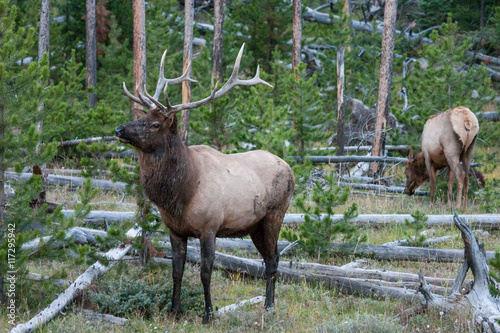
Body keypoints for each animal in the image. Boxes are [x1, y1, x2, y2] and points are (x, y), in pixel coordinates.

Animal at [115, 44, 294, 322]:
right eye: (141, 115)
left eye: (155, 124)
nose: (120, 129)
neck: (181, 193)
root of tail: (290, 168)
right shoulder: (175, 230)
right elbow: (176, 270)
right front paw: (174, 310)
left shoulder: (209, 227)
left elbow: (205, 272)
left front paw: (208, 313)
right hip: (254, 225)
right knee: (268, 258)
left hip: (275, 214)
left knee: (274, 259)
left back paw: (268, 307)